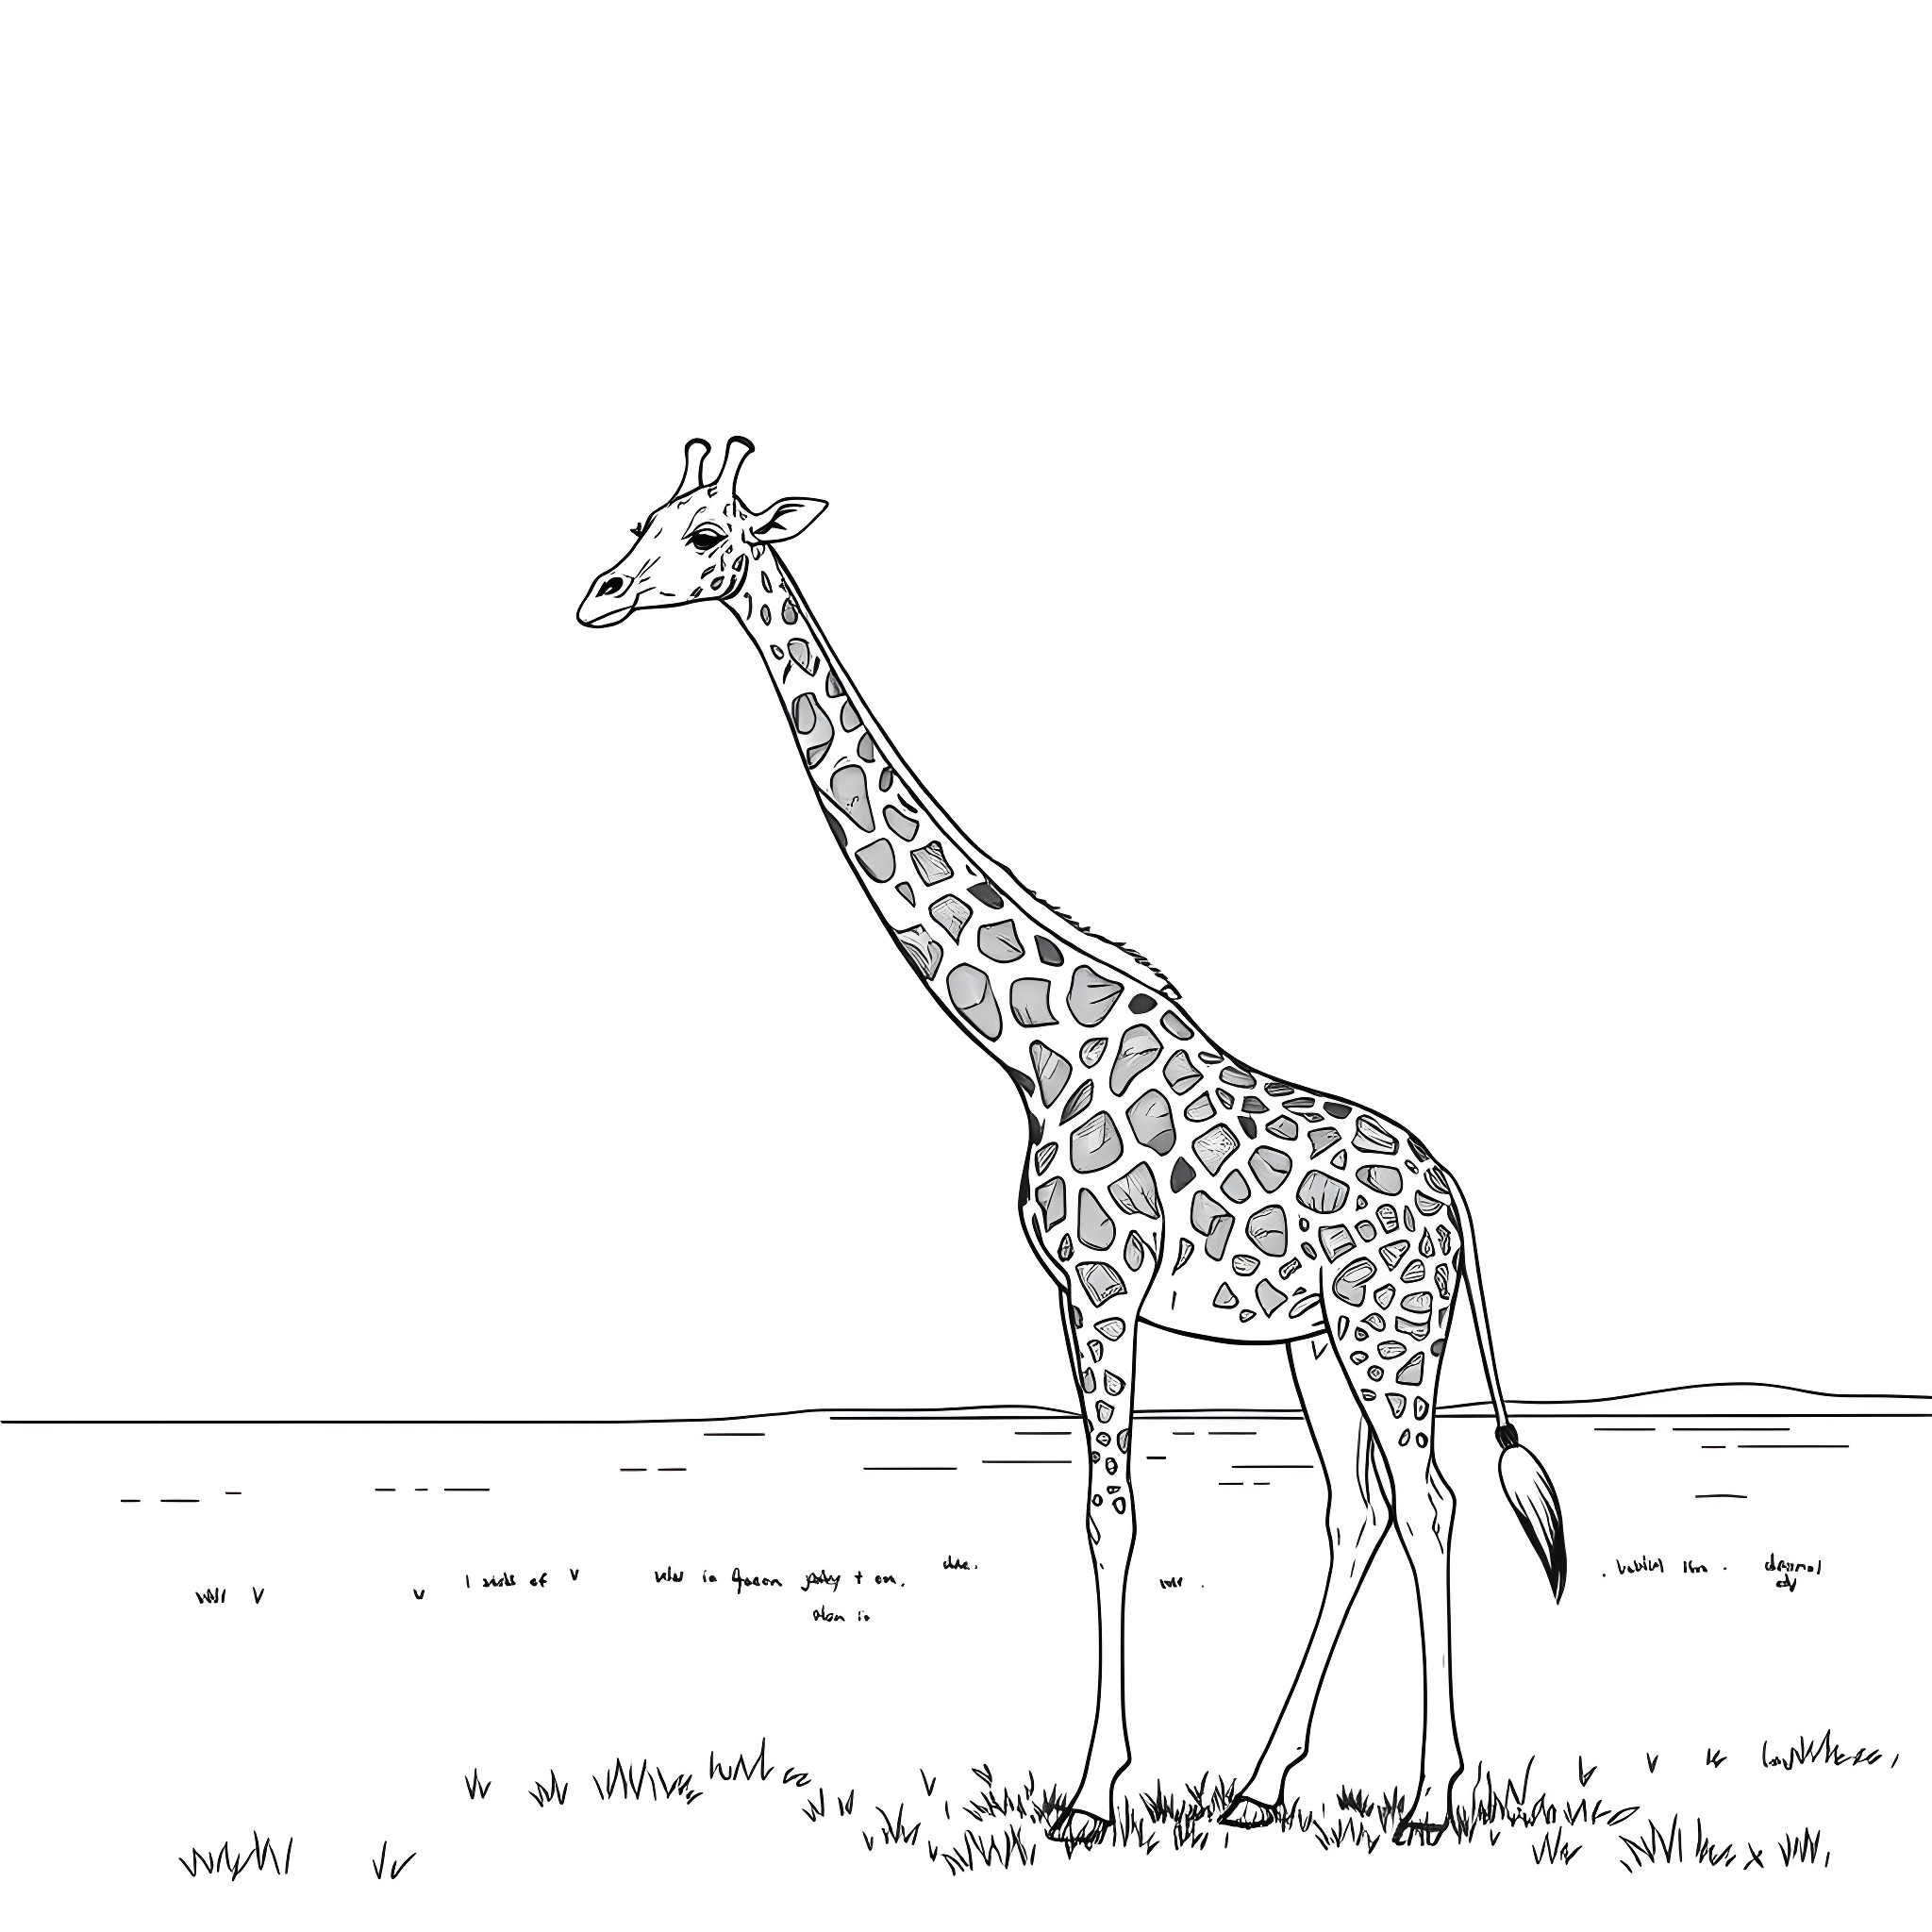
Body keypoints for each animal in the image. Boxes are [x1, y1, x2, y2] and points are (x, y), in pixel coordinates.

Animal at [576, 436, 1568, 1847]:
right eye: (642, 520)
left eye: (710, 534)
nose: (598, 594)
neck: (1032, 1046)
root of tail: (1460, 1202)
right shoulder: (1067, 1293)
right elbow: (1105, 1512)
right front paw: (1120, 1777)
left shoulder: (1102, 1287)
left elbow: (1113, 1513)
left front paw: (1093, 1791)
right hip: (1317, 1342)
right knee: (1359, 1509)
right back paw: (1260, 1784)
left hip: (1390, 1335)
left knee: (1427, 1506)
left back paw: (1433, 1796)